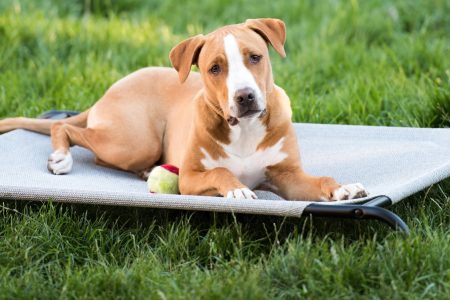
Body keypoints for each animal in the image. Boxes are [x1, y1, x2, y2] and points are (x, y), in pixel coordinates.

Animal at [0, 18, 368, 202]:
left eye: (255, 57)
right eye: (215, 68)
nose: (246, 97)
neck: (244, 129)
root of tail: (111, 88)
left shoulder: (287, 176)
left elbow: (319, 180)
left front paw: (342, 188)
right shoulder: (190, 179)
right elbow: (220, 173)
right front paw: (236, 188)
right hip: (134, 141)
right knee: (68, 129)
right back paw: (61, 157)